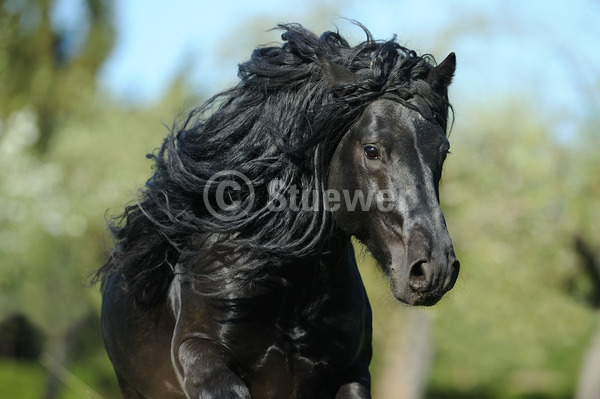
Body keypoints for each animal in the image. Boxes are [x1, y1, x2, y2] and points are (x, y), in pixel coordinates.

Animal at [96, 24, 460, 399]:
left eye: (443, 151)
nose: (434, 268)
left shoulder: (353, 369)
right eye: (372, 150)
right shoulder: (198, 353)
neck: (289, 292)